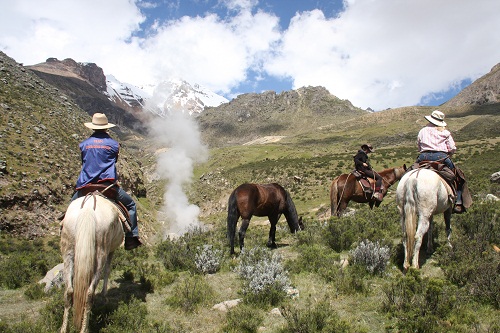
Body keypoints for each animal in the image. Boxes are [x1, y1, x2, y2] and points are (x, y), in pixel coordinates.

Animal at [59, 193, 125, 330]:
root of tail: (88, 208)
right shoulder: (111, 250)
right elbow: (107, 270)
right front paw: (105, 297)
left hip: (68, 251)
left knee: (69, 291)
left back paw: (64, 328)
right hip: (100, 254)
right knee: (89, 293)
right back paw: (84, 328)